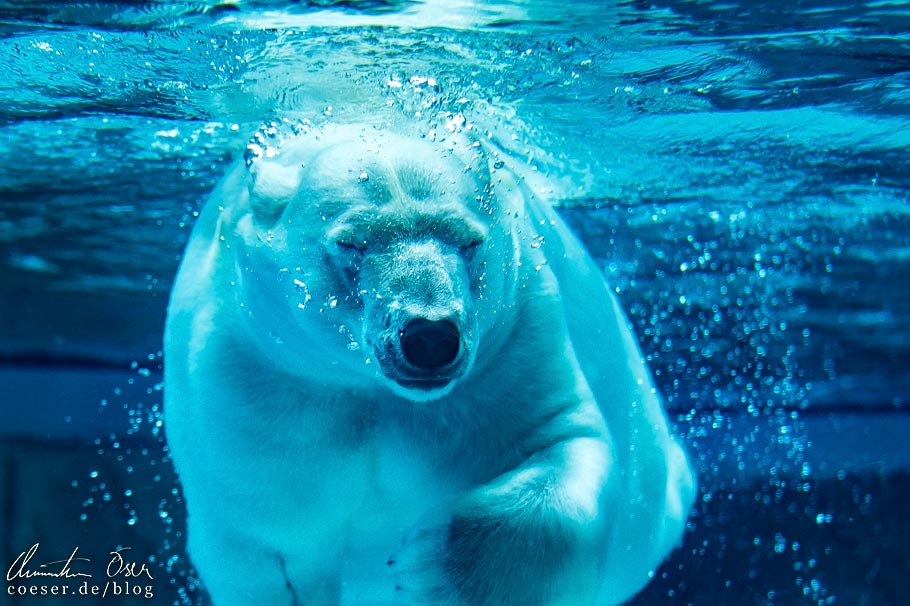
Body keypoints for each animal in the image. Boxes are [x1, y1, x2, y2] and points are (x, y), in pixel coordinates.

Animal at [164, 123, 700, 606]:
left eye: (468, 241)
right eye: (351, 243)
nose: (429, 336)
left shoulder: (518, 338)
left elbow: (568, 440)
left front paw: (427, 568)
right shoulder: (246, 380)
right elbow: (257, 542)